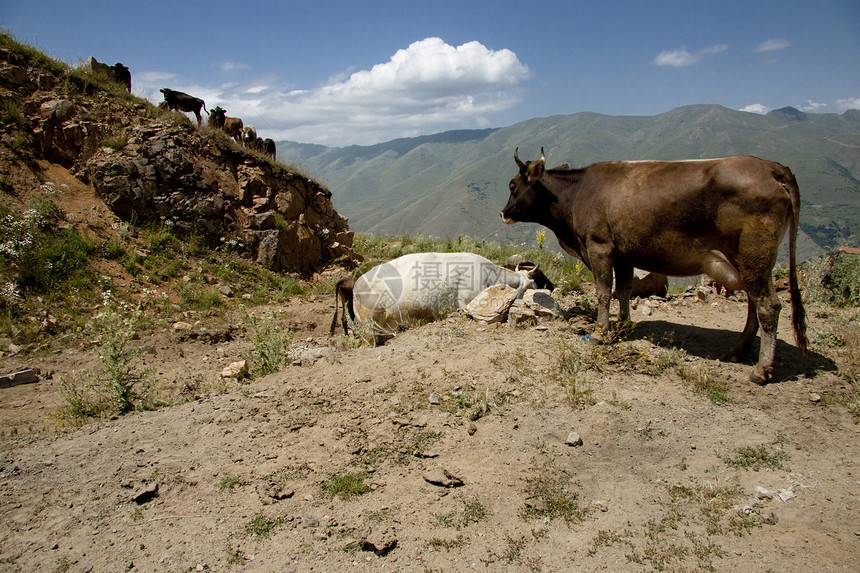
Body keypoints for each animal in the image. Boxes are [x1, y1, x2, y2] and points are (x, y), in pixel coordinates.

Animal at [498, 149, 808, 384]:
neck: (576, 195)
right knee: (755, 304)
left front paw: (600, 333)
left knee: (768, 306)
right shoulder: (624, 255)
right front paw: (622, 327)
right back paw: (737, 352)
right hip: (749, 264)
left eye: (513, 185)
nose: (502, 212)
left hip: (753, 257)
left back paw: (761, 370)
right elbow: (623, 291)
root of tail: (773, 167)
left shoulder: (600, 248)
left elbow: (604, 292)